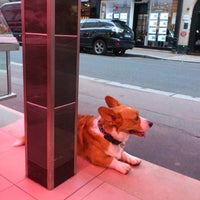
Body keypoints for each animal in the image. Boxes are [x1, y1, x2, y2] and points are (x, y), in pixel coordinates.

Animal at [14, 96, 153, 174]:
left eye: (139, 114)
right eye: (136, 118)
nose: (151, 123)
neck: (107, 134)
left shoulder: (119, 149)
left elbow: (123, 153)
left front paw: (132, 159)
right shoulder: (97, 157)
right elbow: (111, 159)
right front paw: (123, 166)